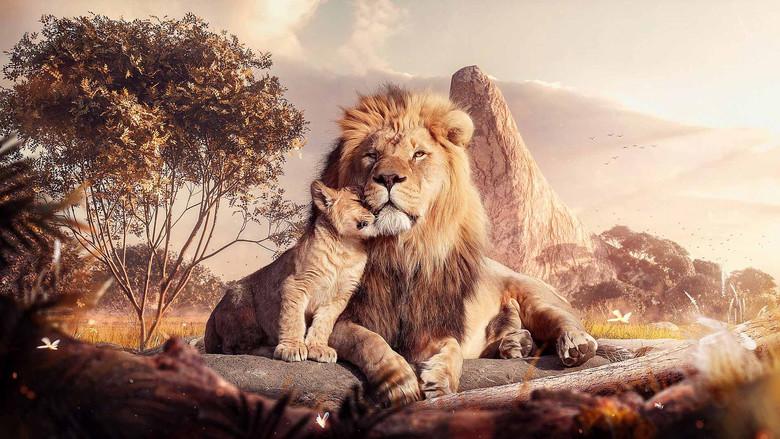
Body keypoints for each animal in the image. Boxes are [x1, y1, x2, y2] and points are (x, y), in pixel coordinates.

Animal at [205, 86, 597, 405]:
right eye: (372, 155)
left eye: (418, 155)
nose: (389, 177)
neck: (401, 251)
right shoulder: (347, 317)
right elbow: (368, 340)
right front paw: (399, 381)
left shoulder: (431, 324)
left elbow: (452, 349)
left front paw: (441, 380)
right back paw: (515, 344)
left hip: (533, 293)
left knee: (562, 318)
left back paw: (571, 344)